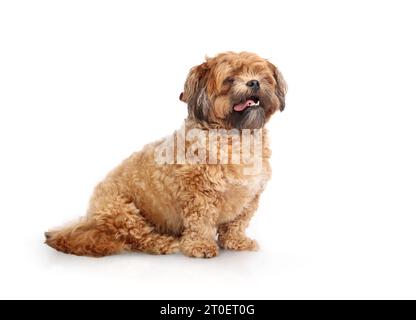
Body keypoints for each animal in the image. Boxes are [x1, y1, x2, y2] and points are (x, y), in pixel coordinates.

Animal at [45, 52, 286, 258]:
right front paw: (200, 245)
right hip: (124, 211)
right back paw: (163, 242)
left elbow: (237, 223)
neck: (235, 137)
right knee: (138, 238)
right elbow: (201, 222)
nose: (254, 82)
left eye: (263, 76)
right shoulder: (199, 194)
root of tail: (90, 220)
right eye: (230, 79)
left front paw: (236, 241)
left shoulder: (251, 197)